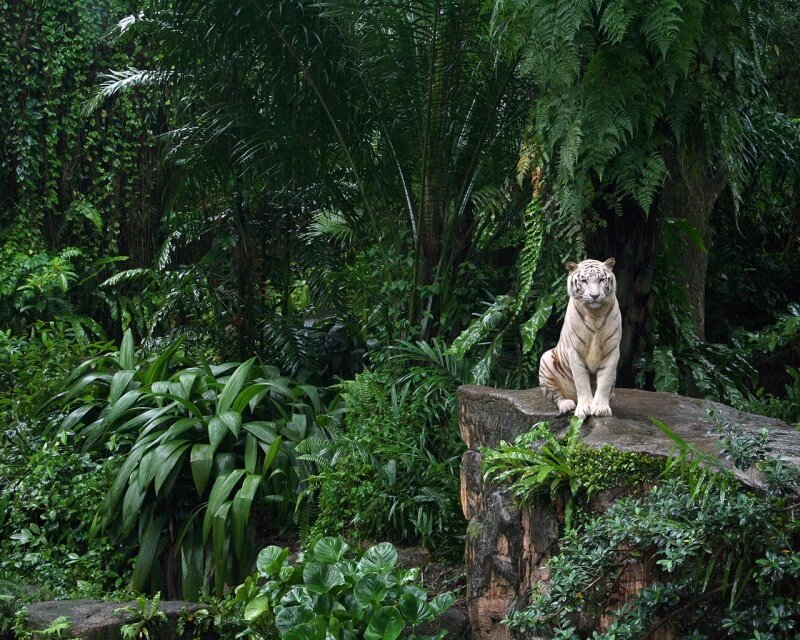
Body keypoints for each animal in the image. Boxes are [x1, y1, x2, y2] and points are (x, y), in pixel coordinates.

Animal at [539, 258, 621, 418]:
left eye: (601, 280)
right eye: (584, 281)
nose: (595, 296)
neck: (595, 314)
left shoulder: (612, 350)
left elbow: (605, 380)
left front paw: (601, 408)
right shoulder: (575, 351)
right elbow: (581, 381)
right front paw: (584, 409)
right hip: (546, 360)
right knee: (556, 396)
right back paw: (567, 405)